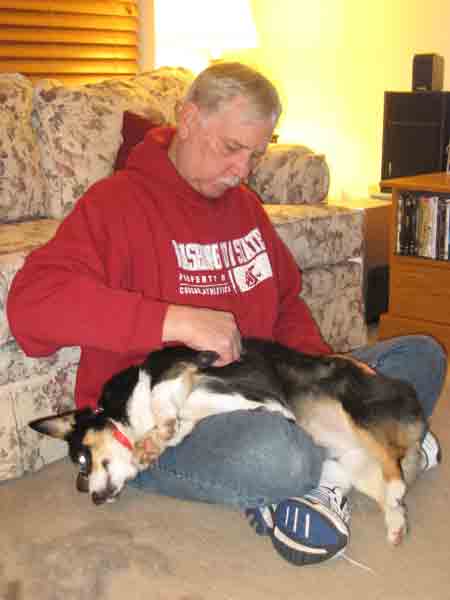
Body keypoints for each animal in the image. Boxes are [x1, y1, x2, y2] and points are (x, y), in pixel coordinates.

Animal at [29, 337, 426, 545]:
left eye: (83, 460)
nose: (95, 498)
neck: (125, 416)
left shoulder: (178, 364)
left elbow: (159, 393)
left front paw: (156, 431)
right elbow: (178, 423)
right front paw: (156, 442)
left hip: (355, 410)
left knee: (391, 458)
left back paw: (397, 488)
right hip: (350, 460)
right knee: (388, 480)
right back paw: (395, 522)